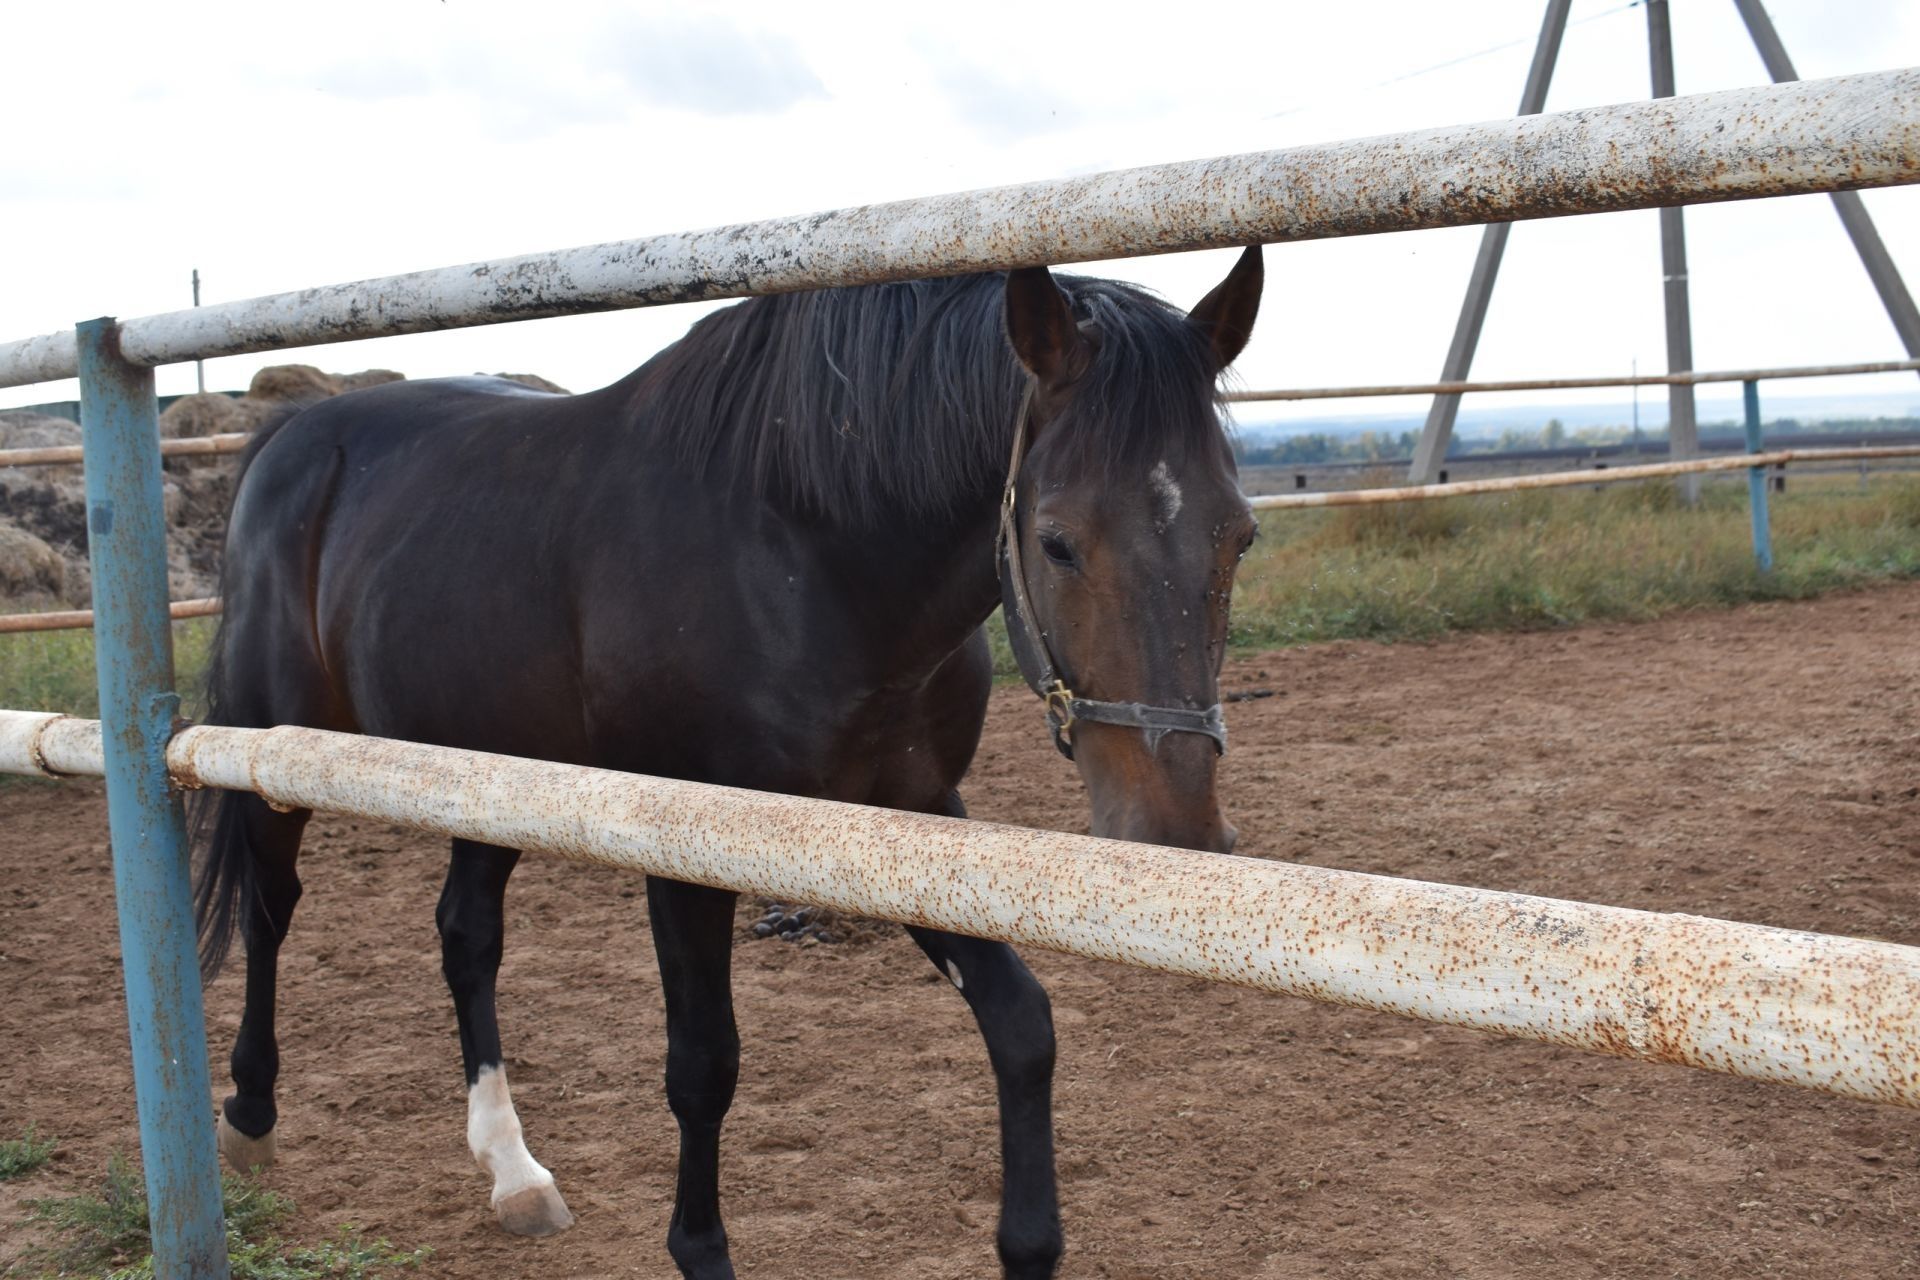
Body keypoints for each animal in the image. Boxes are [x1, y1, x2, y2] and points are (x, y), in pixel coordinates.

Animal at [194, 245, 1267, 1274]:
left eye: (1241, 536)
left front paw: (1030, 1244)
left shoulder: (911, 819)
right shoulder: (685, 856)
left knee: (467, 937)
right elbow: (704, 1064)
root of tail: (291, 437)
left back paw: (515, 1175)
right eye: (1056, 542)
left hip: (486, 779)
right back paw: (248, 1118)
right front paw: (700, 1251)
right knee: (271, 909)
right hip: (278, 761)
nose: (1175, 832)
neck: (802, 555)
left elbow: (1022, 1024)